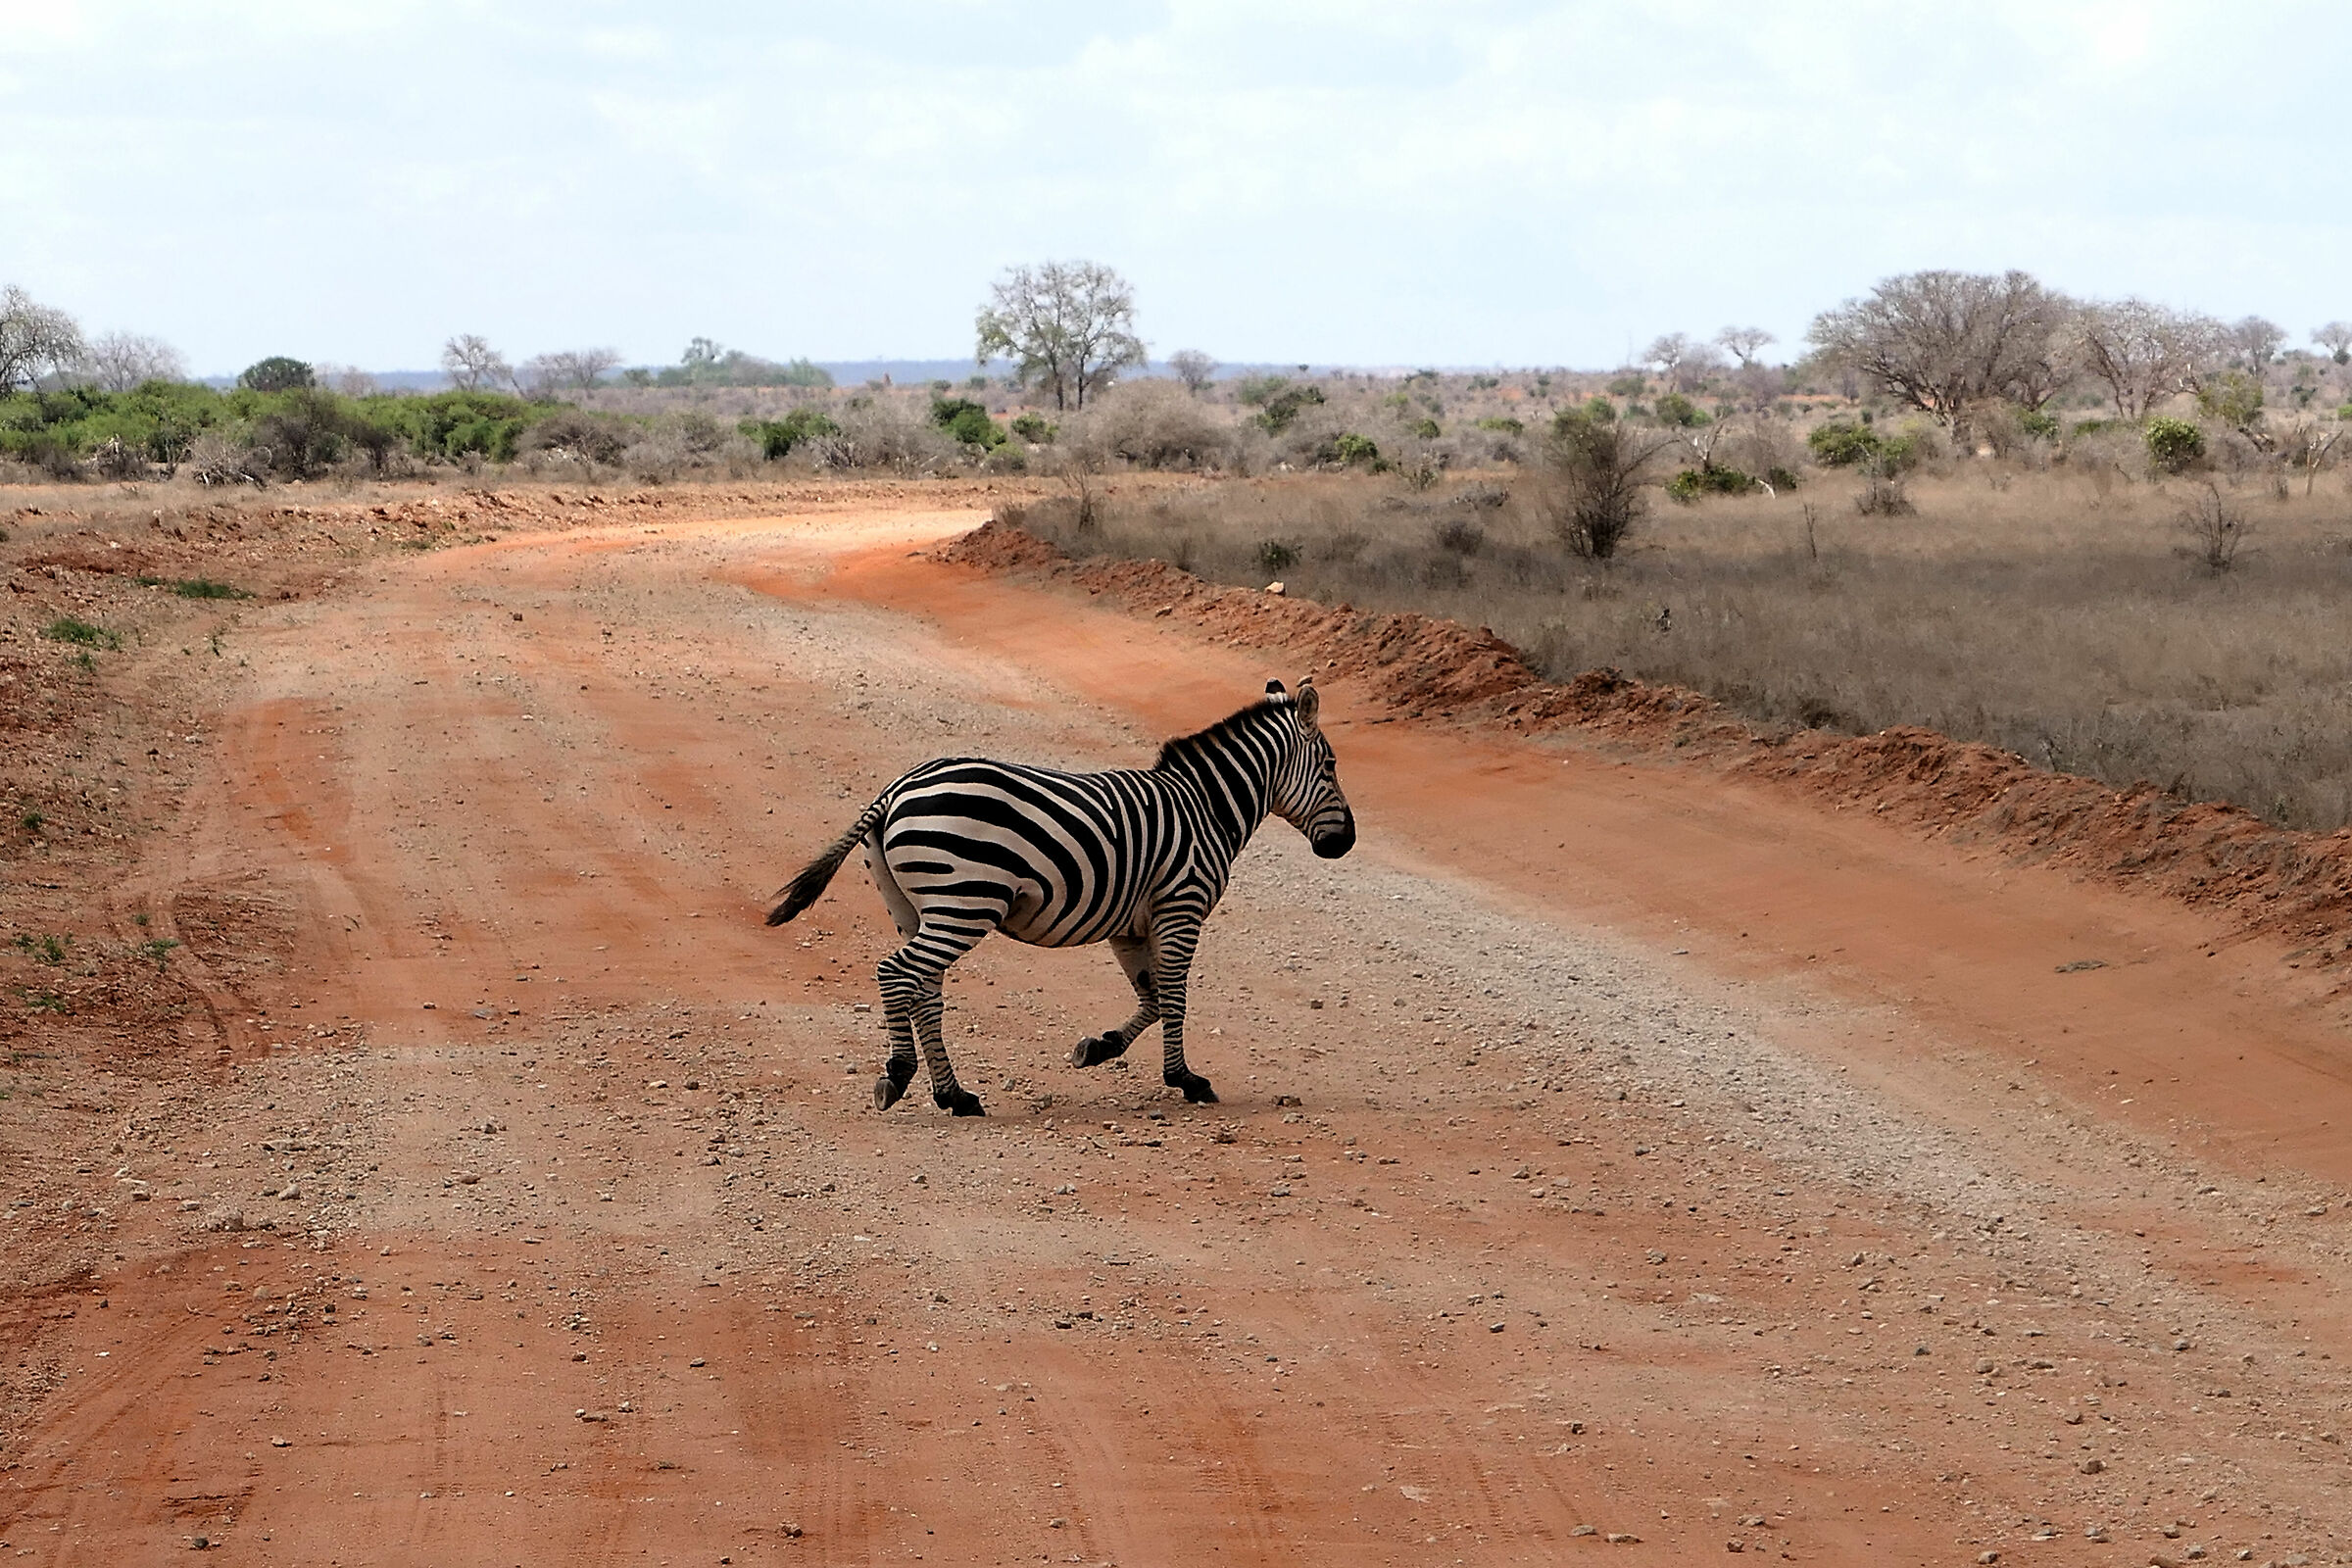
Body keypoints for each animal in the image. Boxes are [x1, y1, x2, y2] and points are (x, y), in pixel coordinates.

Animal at [765, 678, 1356, 1116]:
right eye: (1330, 767)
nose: (1346, 843)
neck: (1205, 806)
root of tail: (894, 790)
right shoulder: (1181, 907)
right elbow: (1175, 998)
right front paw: (1186, 1079)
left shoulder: (1131, 925)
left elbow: (1151, 998)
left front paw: (1099, 1049)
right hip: (965, 902)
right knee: (896, 973)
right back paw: (899, 1073)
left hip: (914, 908)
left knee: (924, 990)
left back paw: (954, 1095)